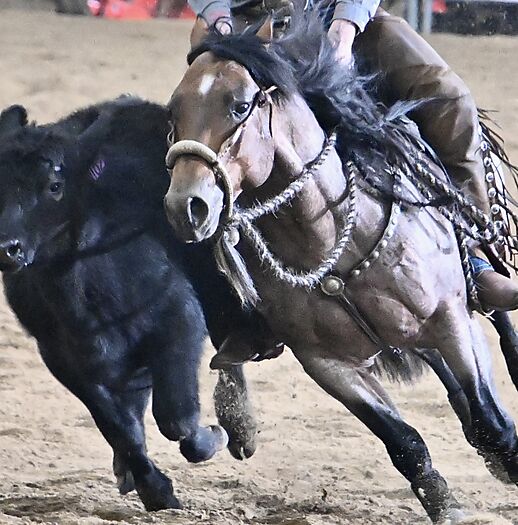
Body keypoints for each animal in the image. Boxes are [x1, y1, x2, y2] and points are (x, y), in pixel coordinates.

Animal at [163, 16, 518, 523]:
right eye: (173, 112)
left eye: (240, 105)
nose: (186, 206)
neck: (332, 238)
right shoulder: (326, 363)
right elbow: (403, 441)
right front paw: (444, 503)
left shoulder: (447, 318)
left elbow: (490, 419)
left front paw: (508, 460)